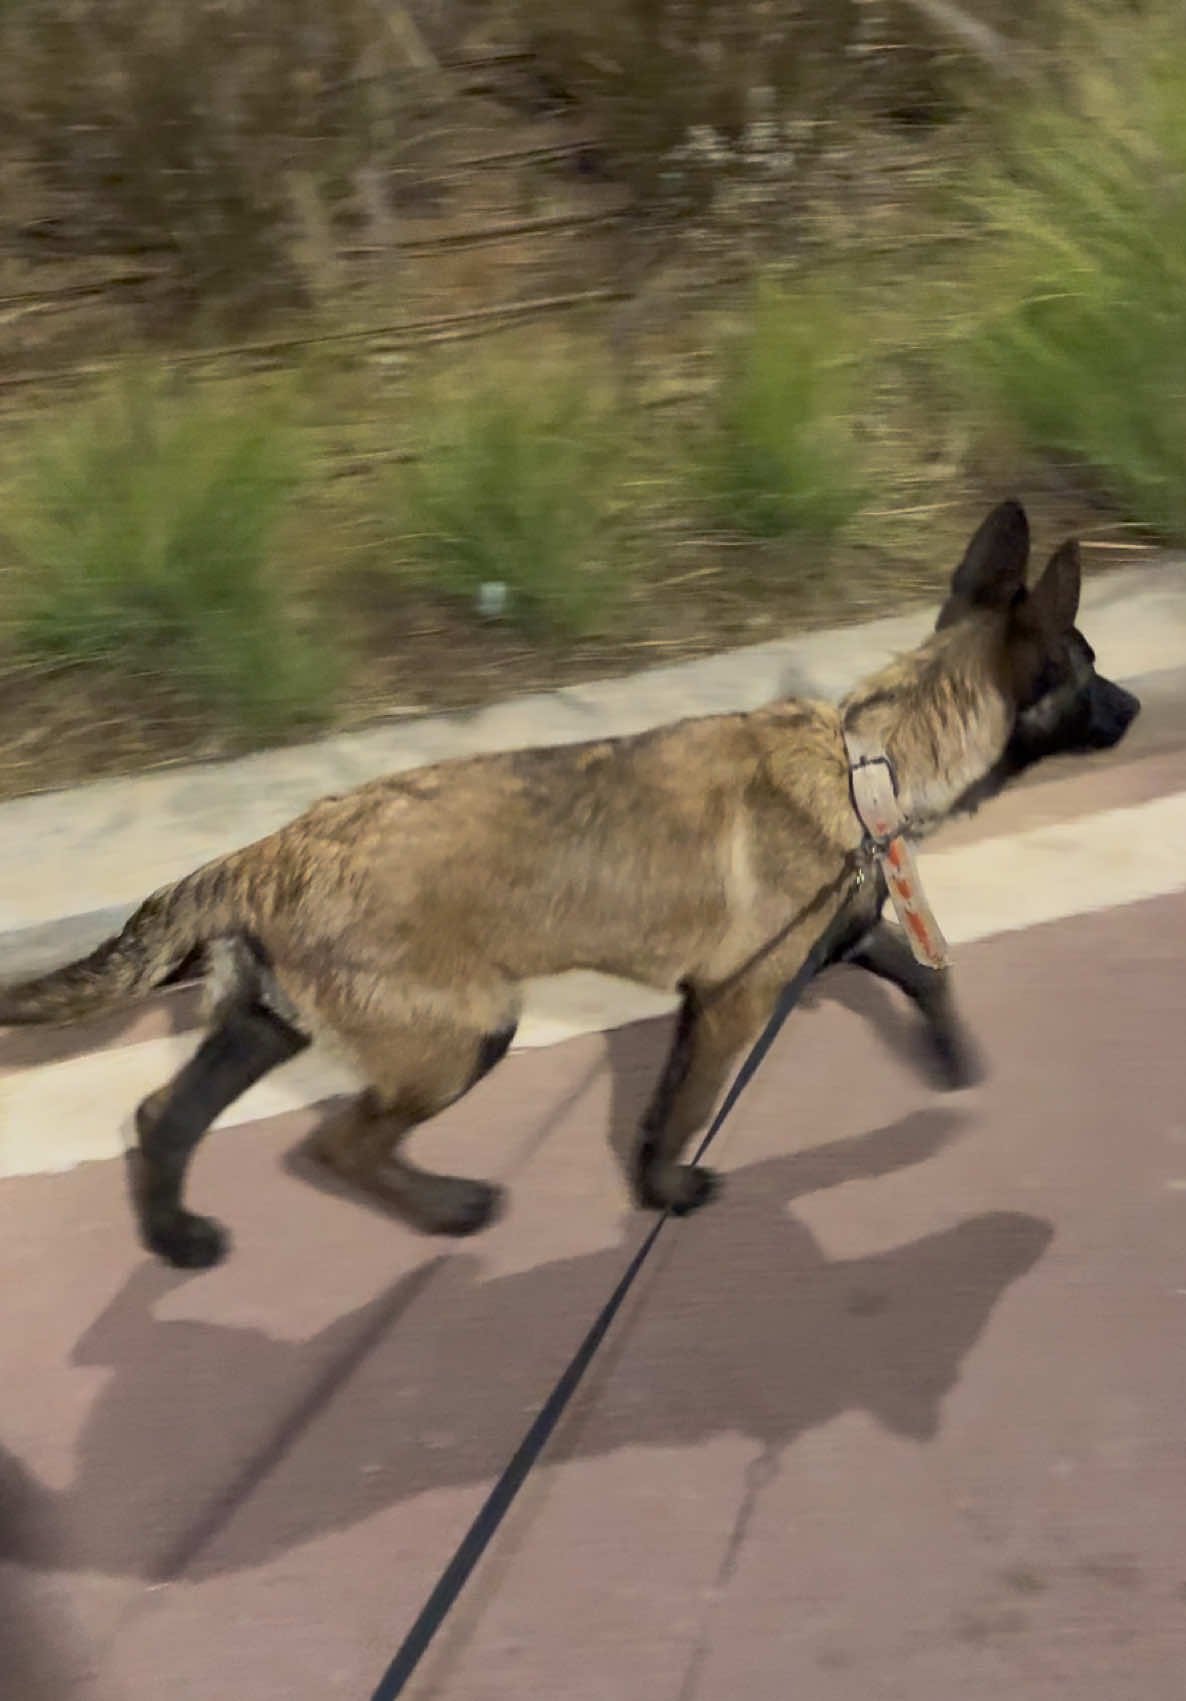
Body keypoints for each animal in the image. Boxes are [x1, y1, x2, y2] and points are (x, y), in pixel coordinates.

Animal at [0, 493, 1136, 1265]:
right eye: (1088, 667)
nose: (1130, 710)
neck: (872, 753)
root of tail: (263, 852)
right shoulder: (733, 1002)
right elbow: (683, 1109)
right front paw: (666, 1190)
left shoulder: (818, 946)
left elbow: (920, 971)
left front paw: (948, 1056)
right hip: (461, 1034)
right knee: (342, 1144)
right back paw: (449, 1208)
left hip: (266, 1023)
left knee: (164, 1117)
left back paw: (176, 1237)